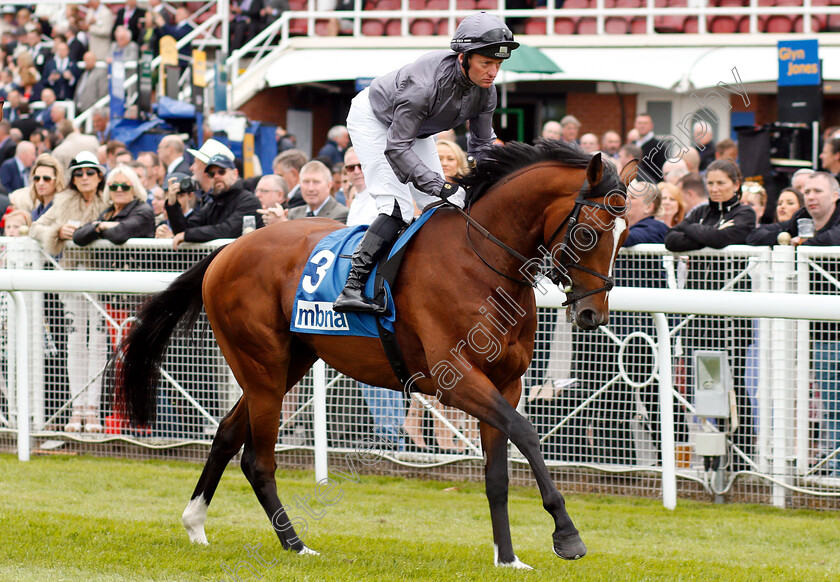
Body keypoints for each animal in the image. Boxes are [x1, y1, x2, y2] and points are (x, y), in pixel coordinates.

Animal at [116, 141, 636, 572]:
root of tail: (227, 251)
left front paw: (507, 558)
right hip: (261, 365)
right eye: (592, 230)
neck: (482, 261)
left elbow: (497, 472)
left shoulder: (505, 383)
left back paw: (196, 522)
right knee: (258, 460)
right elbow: (527, 434)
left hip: (287, 364)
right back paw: (297, 545)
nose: (592, 313)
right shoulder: (456, 379)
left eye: (626, 231)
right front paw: (566, 535)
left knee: (226, 434)